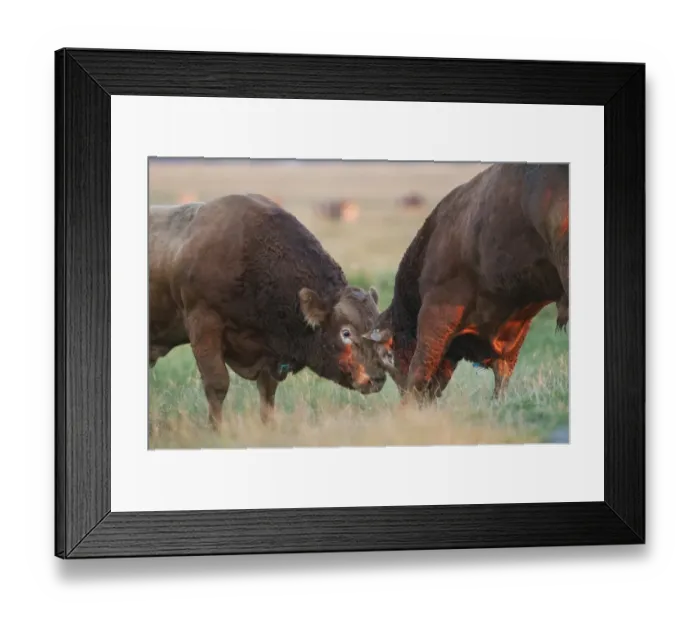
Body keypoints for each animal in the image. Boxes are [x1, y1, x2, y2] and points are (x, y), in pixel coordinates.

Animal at [149, 194, 387, 429]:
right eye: (346, 332)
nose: (377, 378)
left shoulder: (269, 350)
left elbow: (267, 391)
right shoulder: (204, 325)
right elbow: (217, 384)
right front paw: (216, 429)